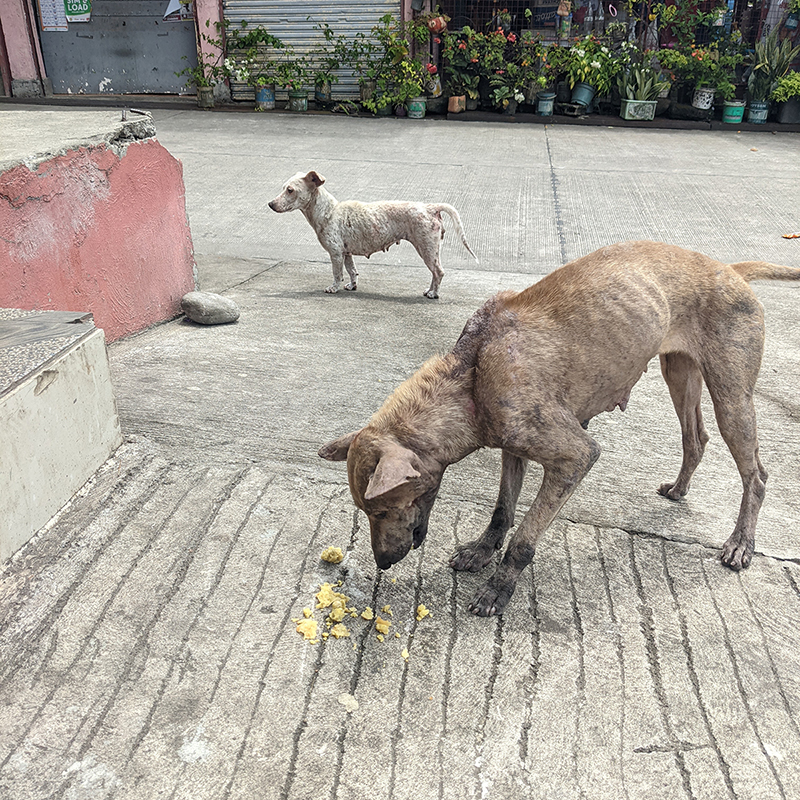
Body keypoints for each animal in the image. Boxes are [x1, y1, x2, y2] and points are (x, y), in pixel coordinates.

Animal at [268, 170, 482, 298]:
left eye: (290, 190)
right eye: (284, 188)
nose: (270, 204)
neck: (329, 211)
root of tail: (431, 208)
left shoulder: (335, 253)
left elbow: (337, 273)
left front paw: (333, 288)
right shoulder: (346, 253)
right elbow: (352, 271)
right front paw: (352, 286)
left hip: (427, 248)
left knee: (438, 272)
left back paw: (433, 294)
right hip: (431, 249)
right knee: (435, 273)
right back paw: (429, 290)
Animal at [318, 244, 800, 620]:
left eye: (382, 510)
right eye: (365, 511)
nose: (382, 563)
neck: (471, 374)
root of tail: (729, 269)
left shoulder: (574, 456)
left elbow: (524, 538)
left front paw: (498, 589)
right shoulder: (513, 447)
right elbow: (502, 510)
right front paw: (481, 551)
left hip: (732, 398)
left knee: (756, 474)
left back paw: (741, 543)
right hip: (680, 374)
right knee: (695, 438)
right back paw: (680, 488)